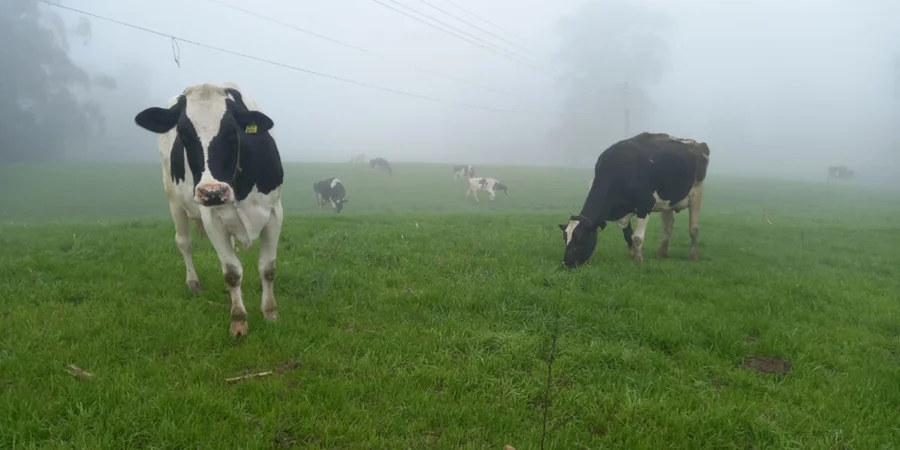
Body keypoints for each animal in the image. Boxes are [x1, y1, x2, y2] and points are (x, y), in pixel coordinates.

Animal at [130, 81, 284, 338]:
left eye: (232, 131)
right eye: (183, 134)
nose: (212, 192)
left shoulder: (274, 212)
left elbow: (268, 268)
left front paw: (270, 313)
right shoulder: (212, 218)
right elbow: (232, 272)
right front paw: (238, 319)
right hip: (174, 200)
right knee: (183, 242)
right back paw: (193, 283)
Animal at [556, 132, 712, 268]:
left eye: (581, 239)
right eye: (565, 239)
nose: (567, 264)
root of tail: (696, 143)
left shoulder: (645, 206)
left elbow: (637, 237)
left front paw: (638, 260)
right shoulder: (624, 212)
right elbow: (628, 235)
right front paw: (631, 256)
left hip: (697, 193)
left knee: (694, 228)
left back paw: (693, 256)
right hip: (667, 201)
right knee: (668, 226)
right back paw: (662, 253)